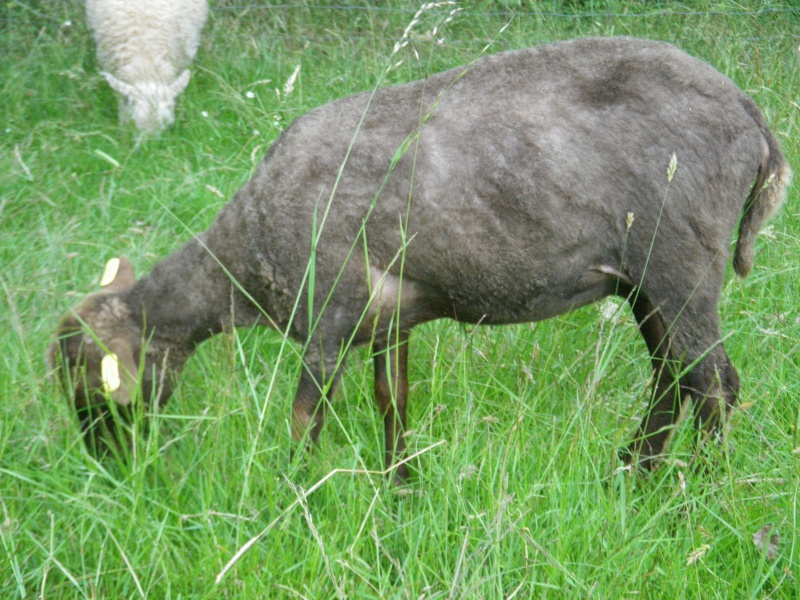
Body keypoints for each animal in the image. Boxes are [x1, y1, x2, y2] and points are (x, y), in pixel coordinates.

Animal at [48, 37, 788, 480]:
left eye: (89, 386)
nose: (109, 466)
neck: (244, 258)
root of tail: (755, 122)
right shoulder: (388, 319)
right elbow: (392, 402)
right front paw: (398, 486)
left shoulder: (329, 314)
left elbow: (305, 416)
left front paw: (294, 496)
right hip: (645, 279)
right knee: (674, 378)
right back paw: (633, 472)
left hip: (680, 262)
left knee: (714, 386)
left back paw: (695, 496)